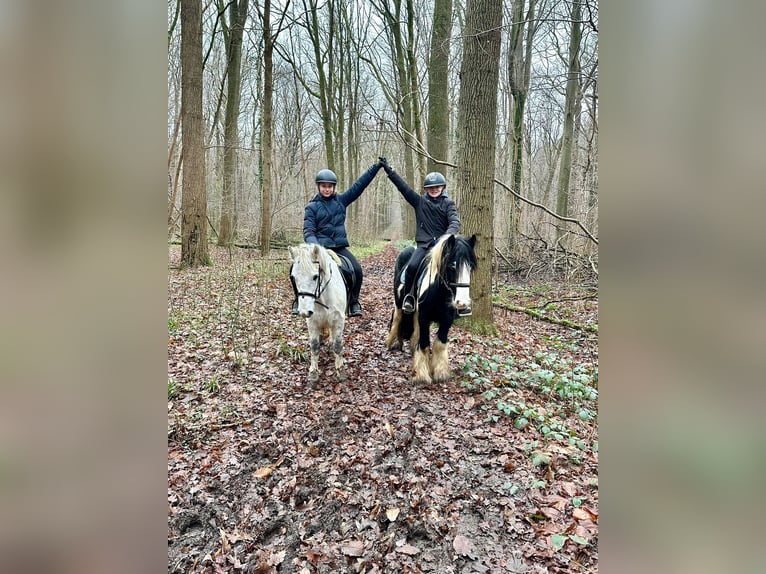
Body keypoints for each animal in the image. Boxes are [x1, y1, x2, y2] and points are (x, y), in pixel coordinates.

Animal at [288, 244, 348, 388]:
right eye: (293, 277)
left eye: (315, 276)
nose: (304, 312)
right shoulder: (312, 322)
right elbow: (314, 346)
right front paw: (313, 373)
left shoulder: (338, 320)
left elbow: (338, 345)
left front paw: (340, 370)